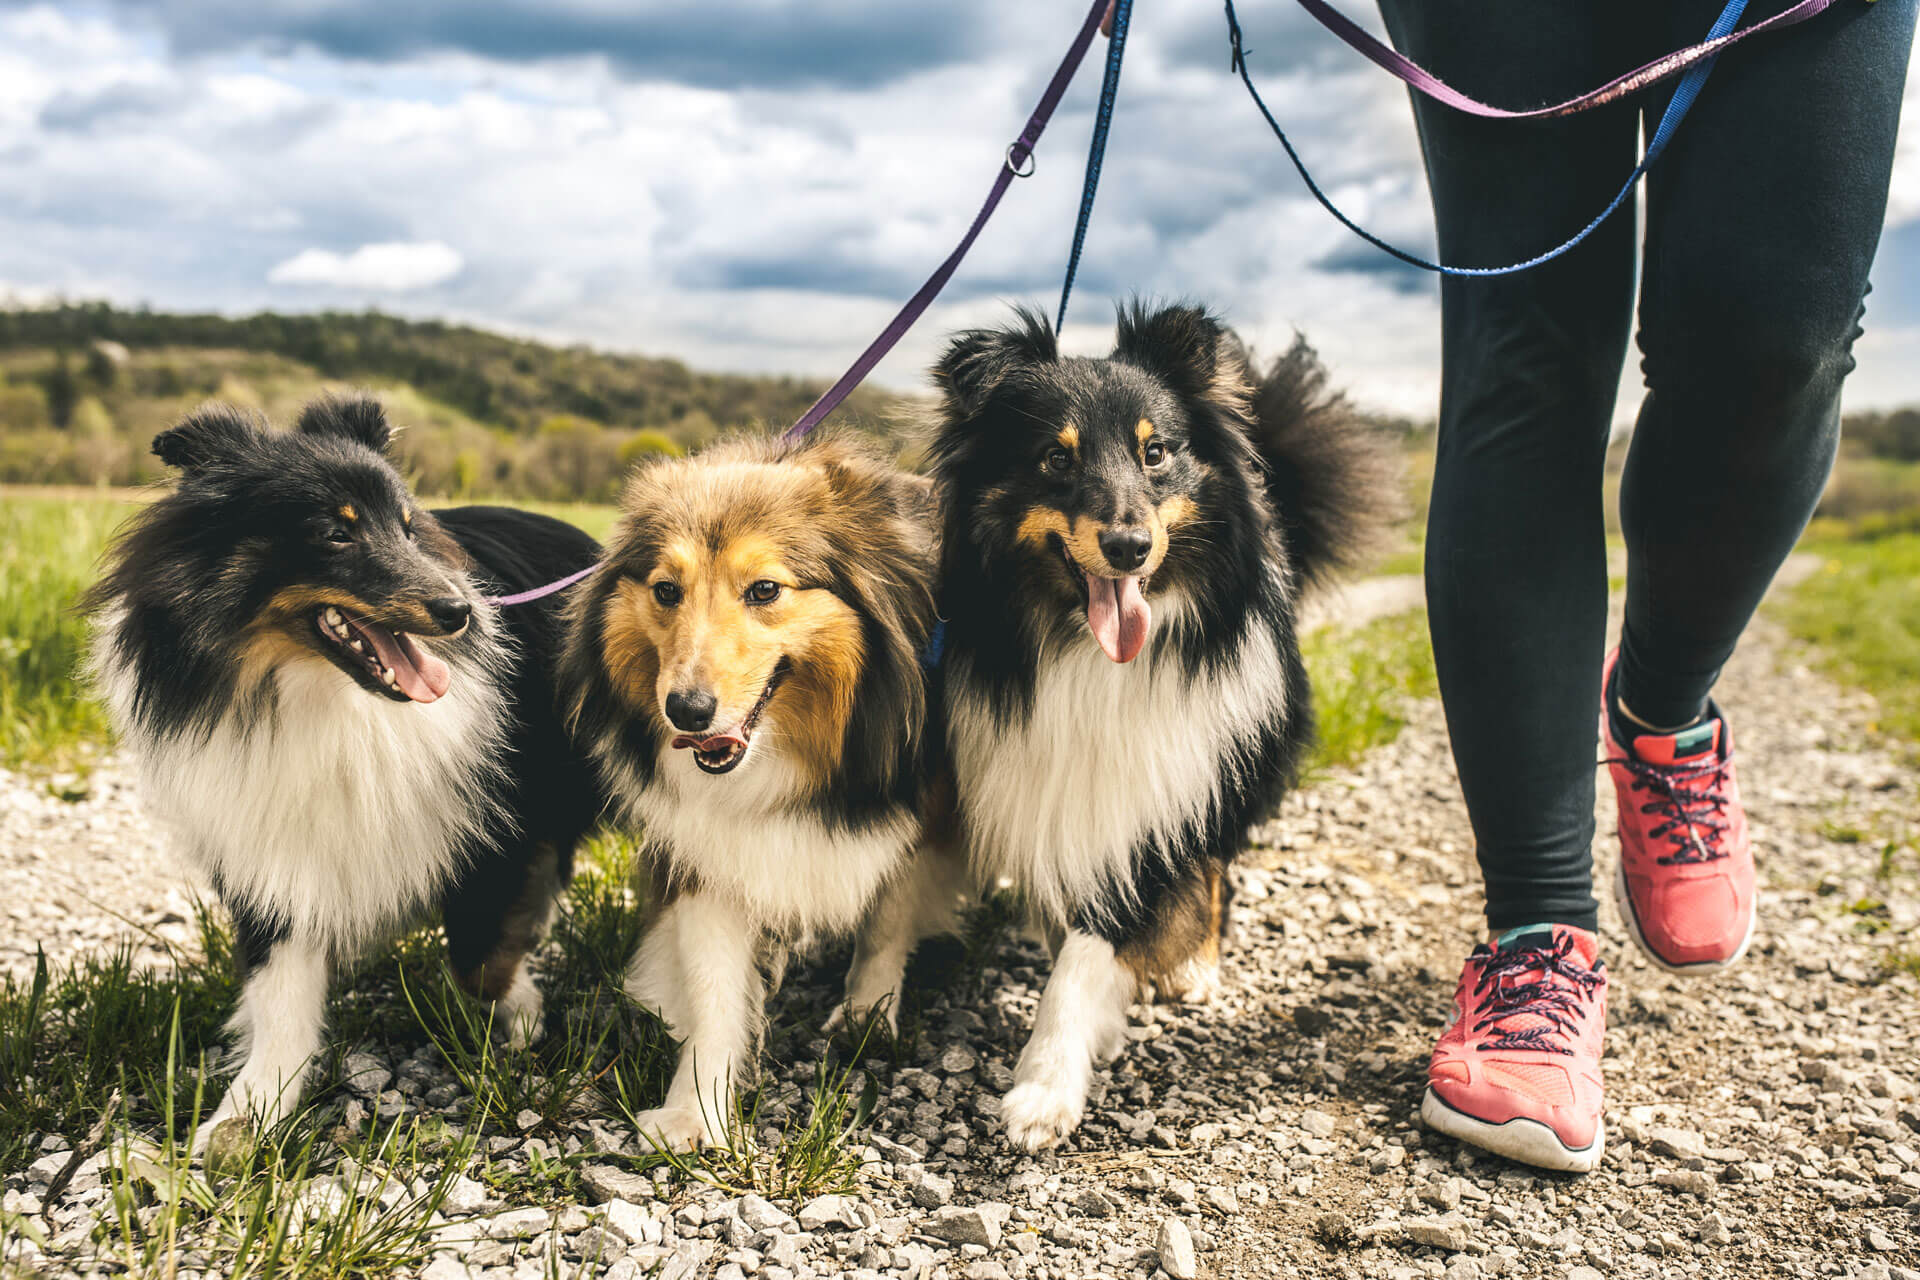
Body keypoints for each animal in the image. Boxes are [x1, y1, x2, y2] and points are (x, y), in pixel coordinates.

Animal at [84, 395, 599, 1143]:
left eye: (409, 527)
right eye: (335, 534)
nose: (459, 611)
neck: (319, 694)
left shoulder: (505, 821)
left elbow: (478, 957)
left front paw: (522, 1014)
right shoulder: (271, 849)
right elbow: (280, 993)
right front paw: (247, 1115)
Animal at [556, 429, 944, 1151]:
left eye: (765, 589)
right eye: (665, 590)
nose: (686, 711)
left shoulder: (918, 809)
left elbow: (889, 917)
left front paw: (867, 1014)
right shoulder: (709, 849)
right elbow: (713, 991)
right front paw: (694, 1113)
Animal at [844, 307, 1397, 1151]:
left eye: (1156, 452)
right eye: (1054, 458)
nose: (1129, 548)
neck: (1080, 648)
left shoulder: (1160, 803)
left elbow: (1088, 955)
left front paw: (1045, 1086)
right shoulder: (974, 764)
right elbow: (894, 900)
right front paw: (865, 1009)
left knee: (1214, 871)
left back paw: (1193, 965)